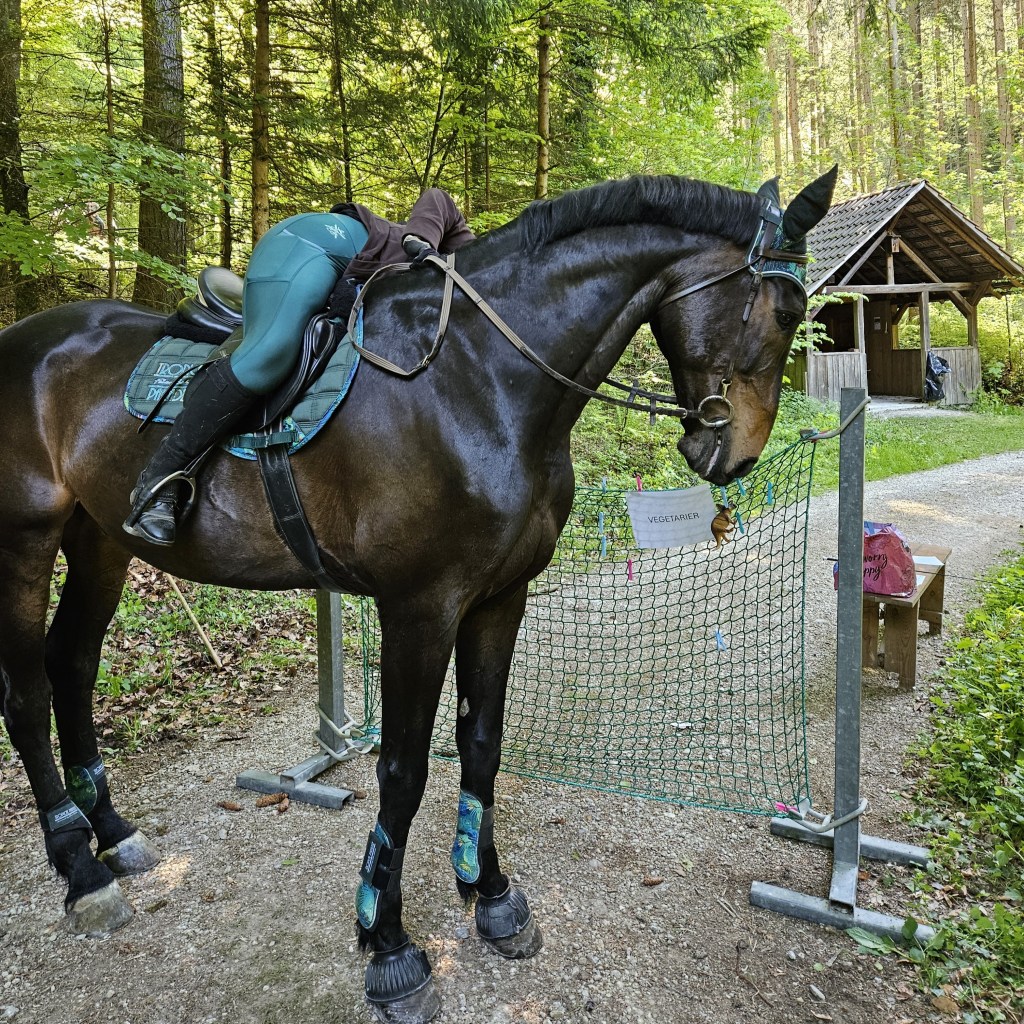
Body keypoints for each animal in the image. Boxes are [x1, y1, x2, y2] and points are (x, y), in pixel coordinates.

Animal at [0, 167, 836, 1023]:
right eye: (786, 312)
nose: (736, 455)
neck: (481, 378)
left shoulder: (500, 600)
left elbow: (481, 746)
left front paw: (491, 896)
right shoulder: (419, 612)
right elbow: (402, 773)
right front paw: (390, 946)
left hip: (100, 539)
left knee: (71, 667)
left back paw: (111, 832)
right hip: (24, 539)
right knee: (28, 693)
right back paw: (81, 870)